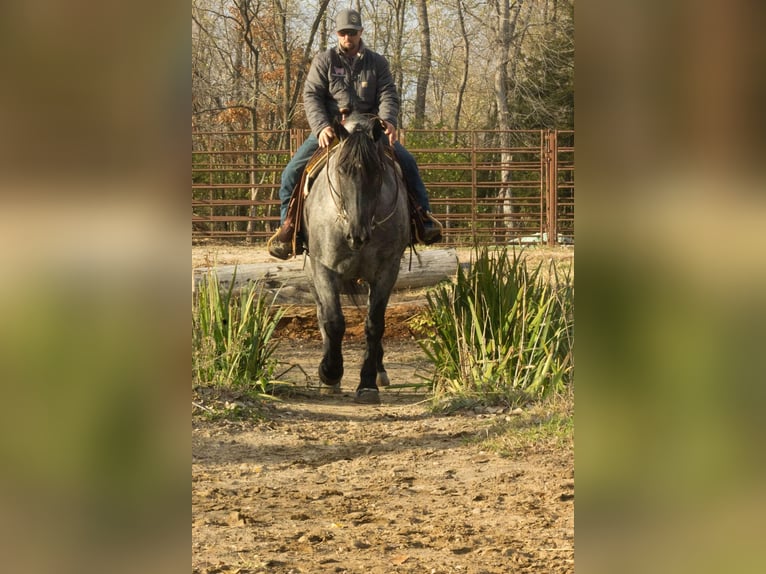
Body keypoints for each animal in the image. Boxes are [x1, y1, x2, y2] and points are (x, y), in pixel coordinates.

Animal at [304, 112, 414, 404]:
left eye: (377, 171)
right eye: (341, 170)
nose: (358, 235)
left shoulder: (387, 272)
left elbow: (374, 325)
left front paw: (367, 384)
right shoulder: (323, 268)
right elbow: (333, 321)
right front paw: (329, 372)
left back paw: (379, 371)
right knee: (322, 314)